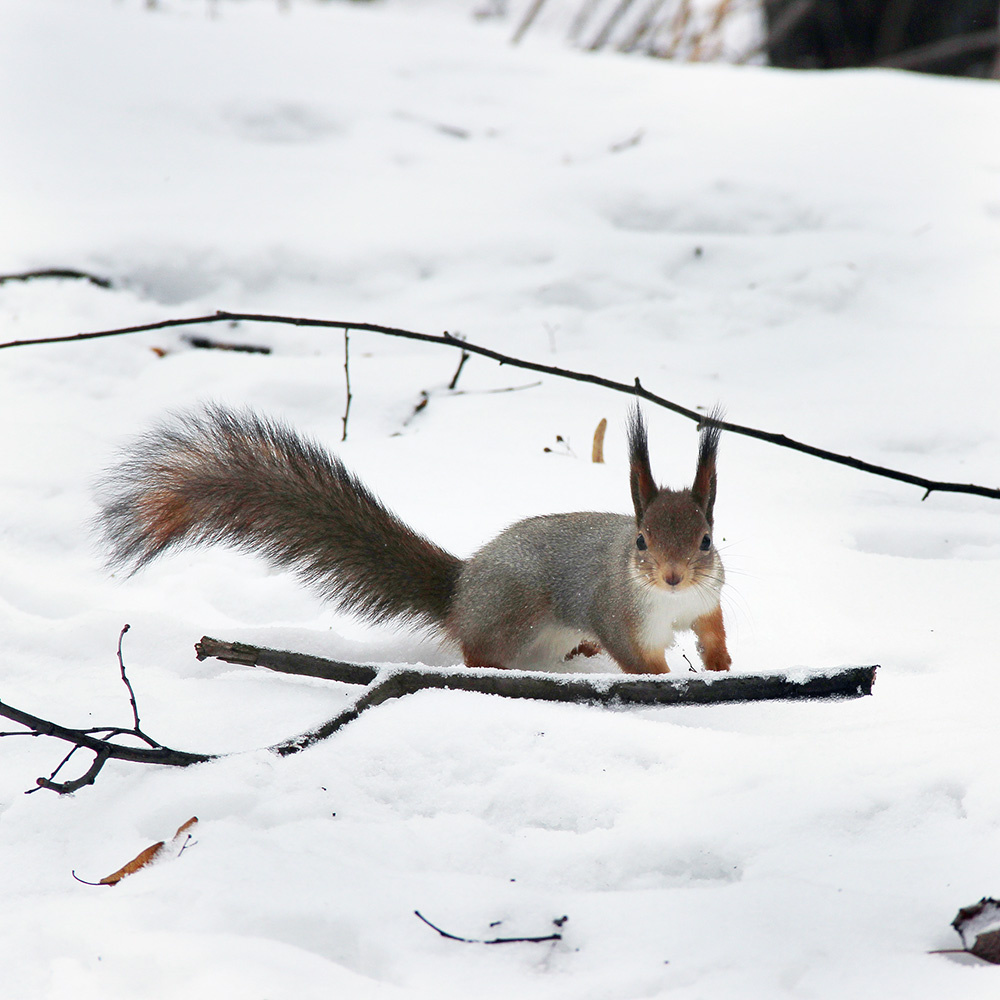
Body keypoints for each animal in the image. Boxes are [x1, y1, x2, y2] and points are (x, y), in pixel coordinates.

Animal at [96, 404, 730, 675]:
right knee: (479, 651)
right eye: (642, 542)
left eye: (706, 540)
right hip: (513, 613)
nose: (672, 576)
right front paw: (666, 681)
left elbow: (712, 631)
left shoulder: (707, 599)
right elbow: (637, 658)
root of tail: (460, 589)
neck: (667, 602)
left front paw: (722, 665)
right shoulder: (618, 612)